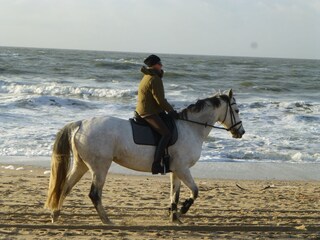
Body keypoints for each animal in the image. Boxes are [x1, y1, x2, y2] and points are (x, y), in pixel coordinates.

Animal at [45, 89, 245, 224]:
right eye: (236, 110)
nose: (241, 132)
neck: (190, 127)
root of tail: (80, 123)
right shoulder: (182, 168)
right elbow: (195, 191)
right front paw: (183, 210)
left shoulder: (176, 170)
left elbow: (174, 194)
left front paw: (174, 216)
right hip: (100, 167)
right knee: (94, 193)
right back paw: (106, 220)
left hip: (82, 165)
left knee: (65, 187)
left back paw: (56, 215)